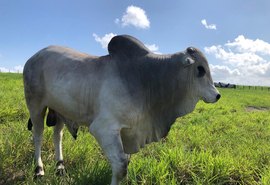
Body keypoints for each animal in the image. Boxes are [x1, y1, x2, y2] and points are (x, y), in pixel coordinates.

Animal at [23, 34, 220, 184]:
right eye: (200, 69)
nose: (218, 95)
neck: (148, 78)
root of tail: (33, 57)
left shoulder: (128, 131)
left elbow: (126, 162)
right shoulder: (104, 128)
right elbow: (121, 166)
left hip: (60, 110)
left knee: (58, 135)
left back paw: (60, 166)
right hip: (35, 105)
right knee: (38, 135)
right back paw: (39, 170)